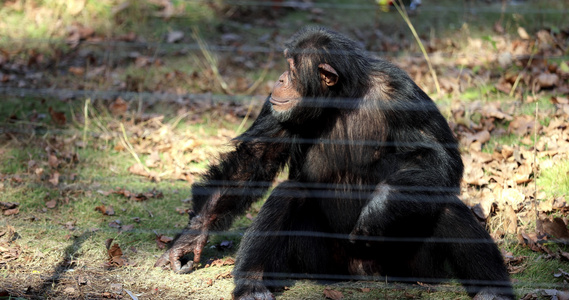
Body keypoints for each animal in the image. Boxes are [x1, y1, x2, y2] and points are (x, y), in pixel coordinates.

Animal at [156, 27, 516, 298]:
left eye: (291, 67)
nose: (279, 79)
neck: (340, 97)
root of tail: (364, 275)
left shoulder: (402, 93)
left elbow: (437, 156)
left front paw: (378, 209)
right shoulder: (277, 108)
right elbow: (256, 156)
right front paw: (192, 237)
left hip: (412, 269)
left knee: (443, 202)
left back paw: (491, 290)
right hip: (321, 265)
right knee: (288, 194)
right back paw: (252, 284)